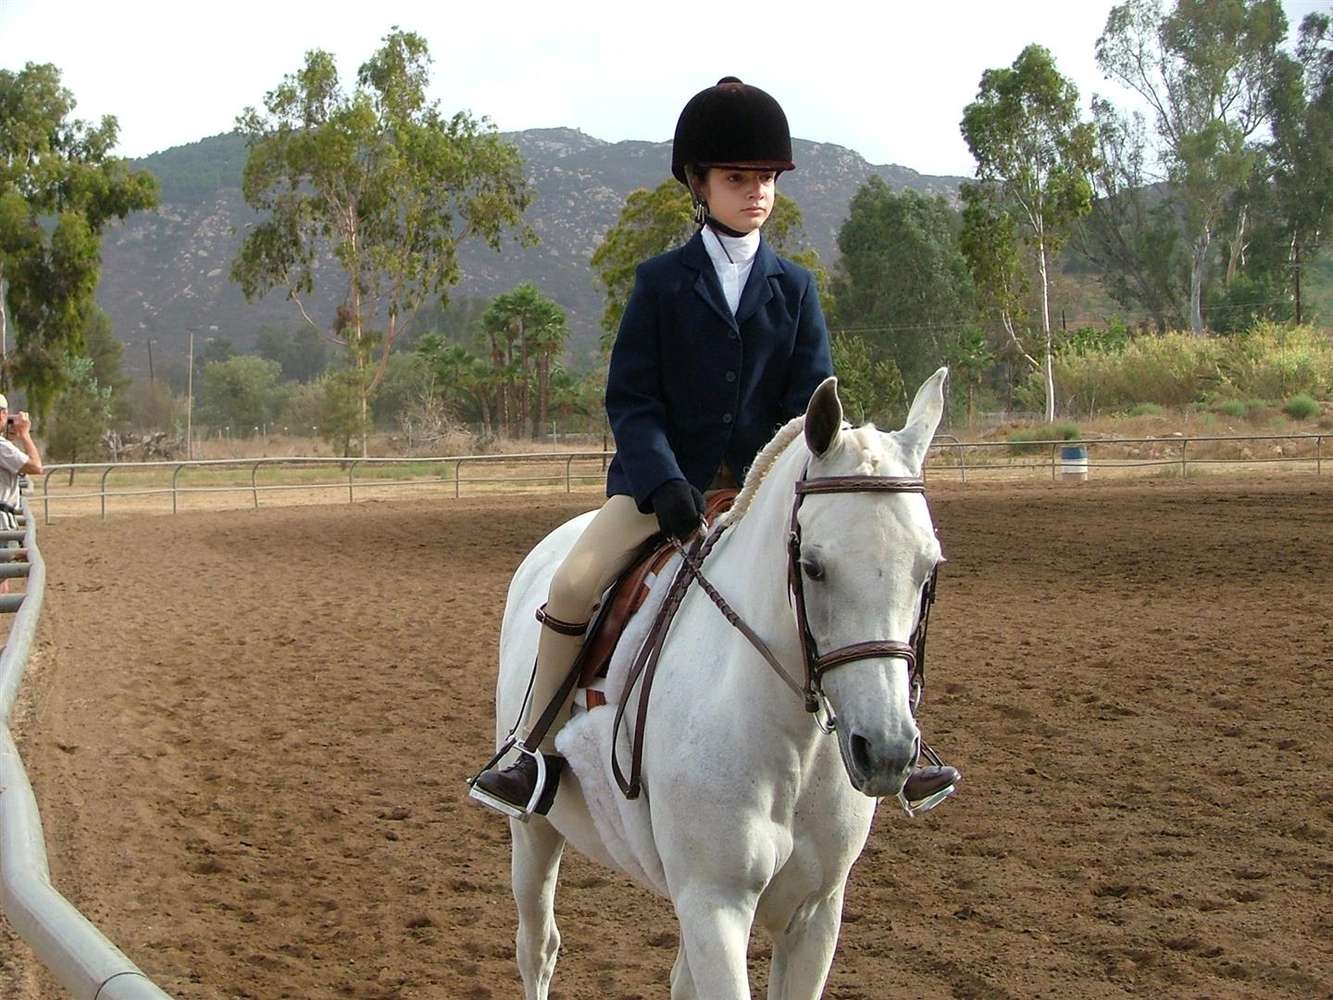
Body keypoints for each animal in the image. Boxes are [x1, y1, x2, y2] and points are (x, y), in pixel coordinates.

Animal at [490, 370, 949, 1000]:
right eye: (813, 566)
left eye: (928, 569)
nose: (884, 752)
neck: (791, 742)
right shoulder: (716, 904)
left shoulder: (815, 911)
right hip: (535, 831)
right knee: (537, 946)